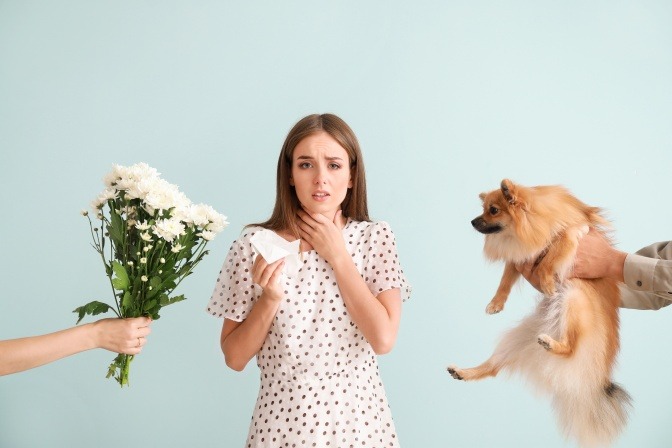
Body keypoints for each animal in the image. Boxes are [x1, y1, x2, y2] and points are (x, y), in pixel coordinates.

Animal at [448, 179, 632, 448]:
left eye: (493, 210)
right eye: (483, 209)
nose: (472, 221)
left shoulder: (571, 232)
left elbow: (550, 256)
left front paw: (546, 282)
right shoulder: (519, 257)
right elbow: (506, 279)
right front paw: (496, 303)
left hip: (575, 299)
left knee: (571, 347)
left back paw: (553, 344)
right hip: (517, 338)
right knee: (493, 368)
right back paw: (463, 372)